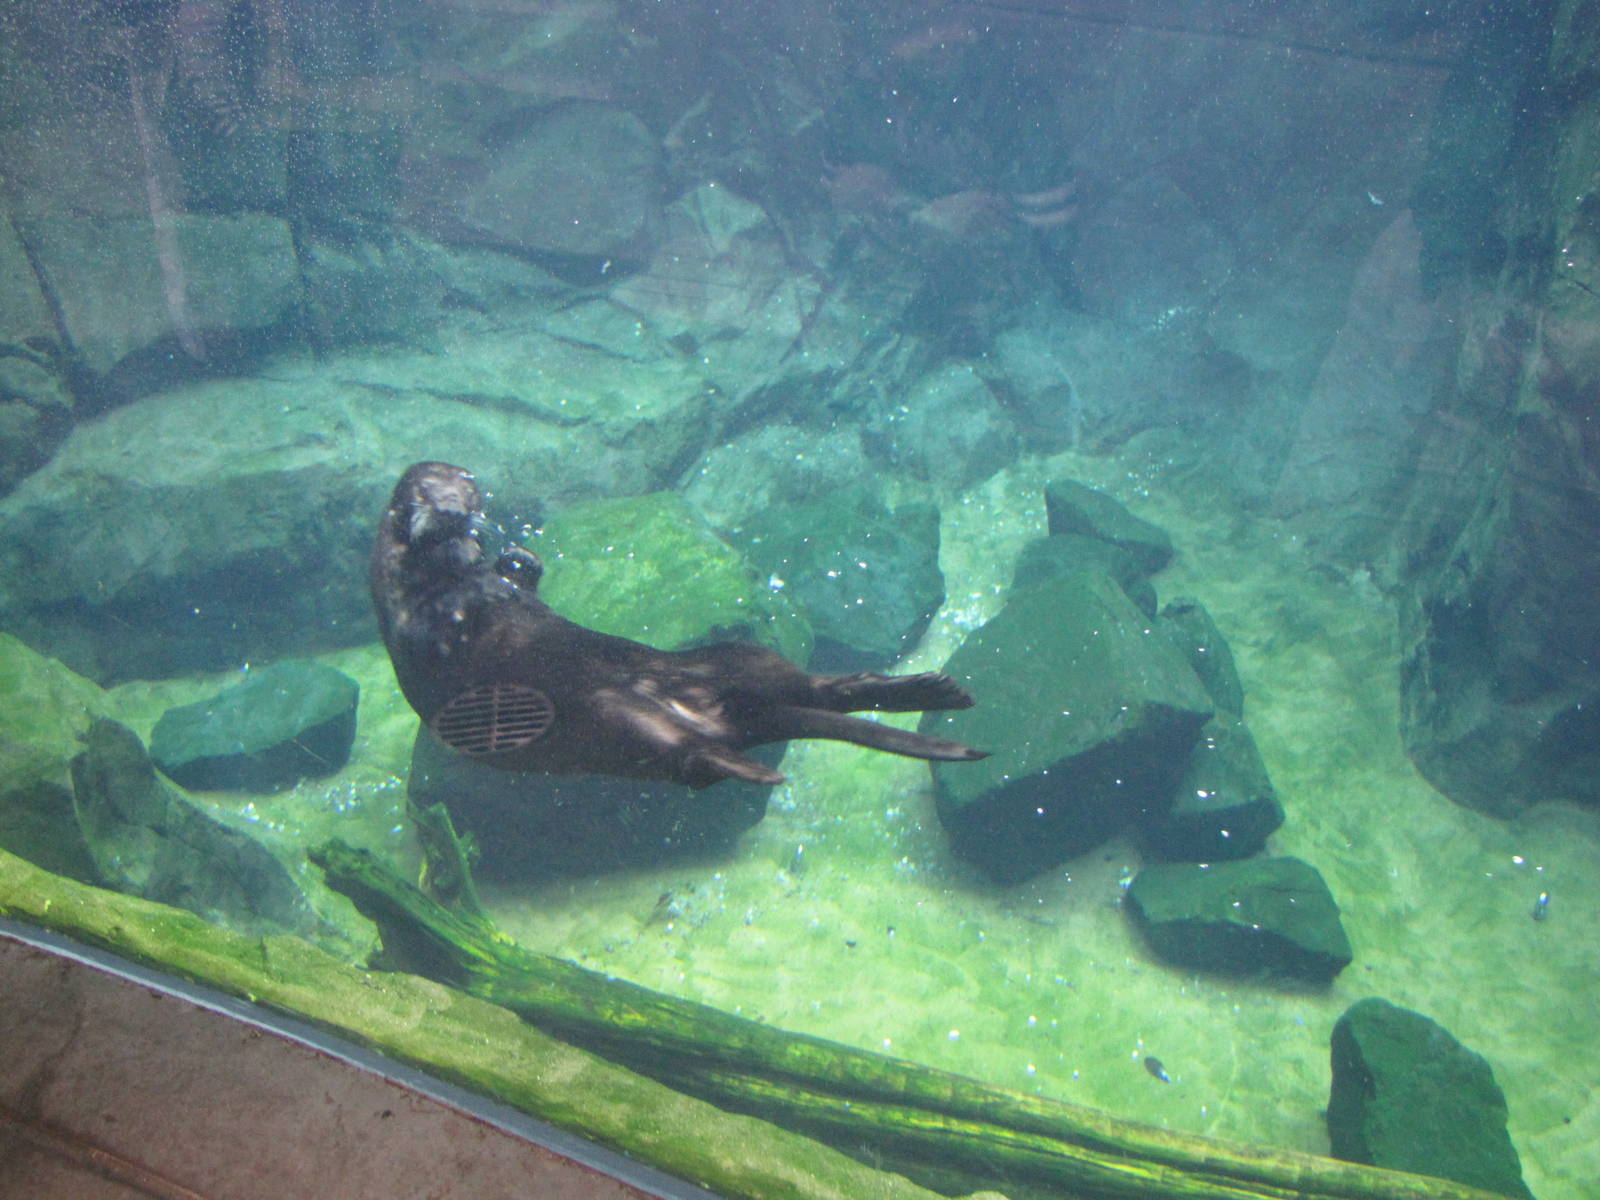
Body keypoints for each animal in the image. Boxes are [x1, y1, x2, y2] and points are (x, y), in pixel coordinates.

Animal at [372, 462, 986, 788]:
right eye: (424, 495)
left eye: (467, 487)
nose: (456, 512)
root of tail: (720, 717)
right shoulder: (412, 612)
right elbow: (440, 629)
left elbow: (516, 583)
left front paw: (519, 560)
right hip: (613, 721)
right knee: (692, 752)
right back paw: (761, 770)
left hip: (727, 657)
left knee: (812, 687)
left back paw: (933, 689)